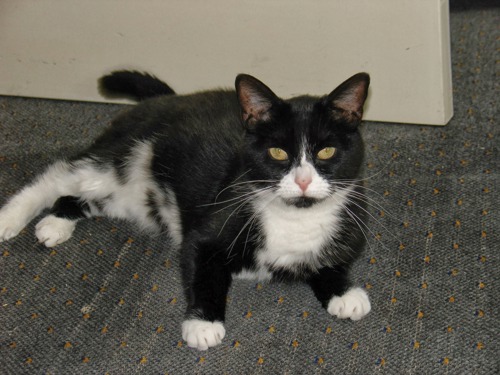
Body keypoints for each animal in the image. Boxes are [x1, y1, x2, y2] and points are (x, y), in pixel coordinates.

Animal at [0, 71, 372, 352]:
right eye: (278, 152)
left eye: (326, 151)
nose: (304, 181)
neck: (295, 217)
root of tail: (169, 98)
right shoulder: (210, 225)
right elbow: (201, 267)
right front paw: (203, 323)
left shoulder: (349, 230)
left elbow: (331, 262)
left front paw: (345, 293)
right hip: (123, 154)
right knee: (59, 175)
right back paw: (10, 218)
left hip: (130, 198)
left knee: (77, 196)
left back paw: (55, 223)